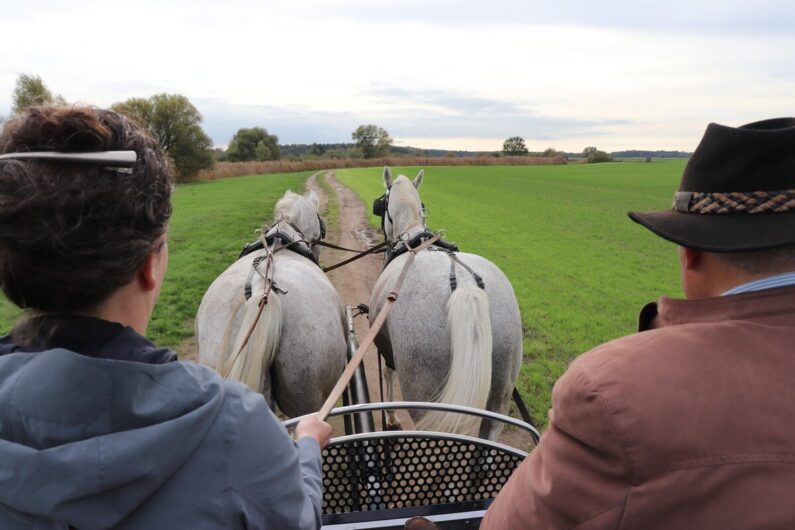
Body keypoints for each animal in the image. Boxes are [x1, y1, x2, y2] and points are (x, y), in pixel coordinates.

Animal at [372, 168, 524, 438]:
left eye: (382, 202)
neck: (411, 237)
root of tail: (465, 286)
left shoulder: (387, 350)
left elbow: (387, 373)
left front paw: (390, 418)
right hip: (501, 395)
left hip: (424, 395)